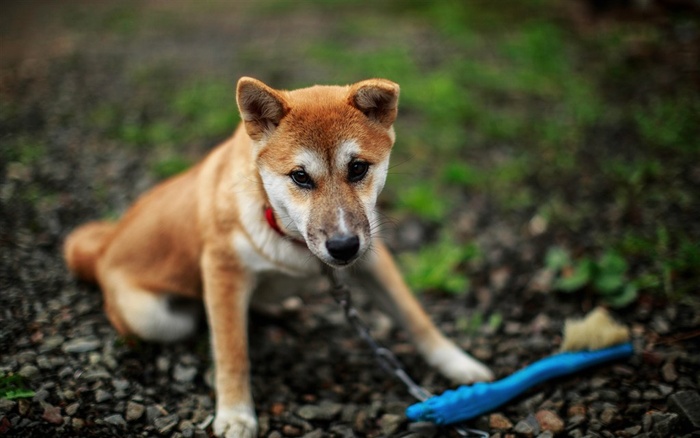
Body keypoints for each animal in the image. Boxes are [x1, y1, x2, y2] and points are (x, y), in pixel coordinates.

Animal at [64, 78, 492, 438]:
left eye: (357, 168)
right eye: (300, 176)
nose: (342, 247)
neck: (292, 240)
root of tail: (103, 249)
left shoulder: (372, 254)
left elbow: (416, 318)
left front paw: (459, 365)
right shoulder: (223, 270)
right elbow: (233, 352)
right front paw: (235, 414)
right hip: (154, 319)